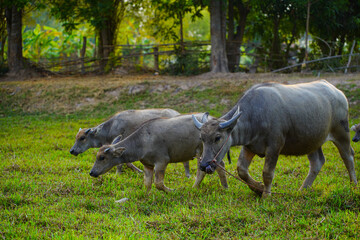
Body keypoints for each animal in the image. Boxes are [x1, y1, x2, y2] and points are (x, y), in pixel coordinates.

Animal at [89, 114, 228, 193]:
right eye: (97, 156)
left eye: (102, 157)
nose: (92, 172)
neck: (143, 141)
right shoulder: (147, 165)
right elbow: (147, 183)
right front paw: (147, 196)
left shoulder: (162, 162)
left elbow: (158, 183)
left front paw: (173, 191)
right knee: (220, 165)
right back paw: (225, 187)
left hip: (203, 152)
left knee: (202, 171)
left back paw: (194, 187)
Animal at [193, 80, 356, 197]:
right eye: (201, 138)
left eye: (217, 137)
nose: (204, 165)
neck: (255, 116)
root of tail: (338, 92)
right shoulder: (249, 146)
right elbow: (241, 170)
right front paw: (258, 188)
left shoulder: (274, 146)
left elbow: (267, 173)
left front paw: (266, 195)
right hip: (312, 141)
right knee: (317, 162)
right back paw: (302, 190)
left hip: (342, 133)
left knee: (348, 157)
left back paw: (353, 185)